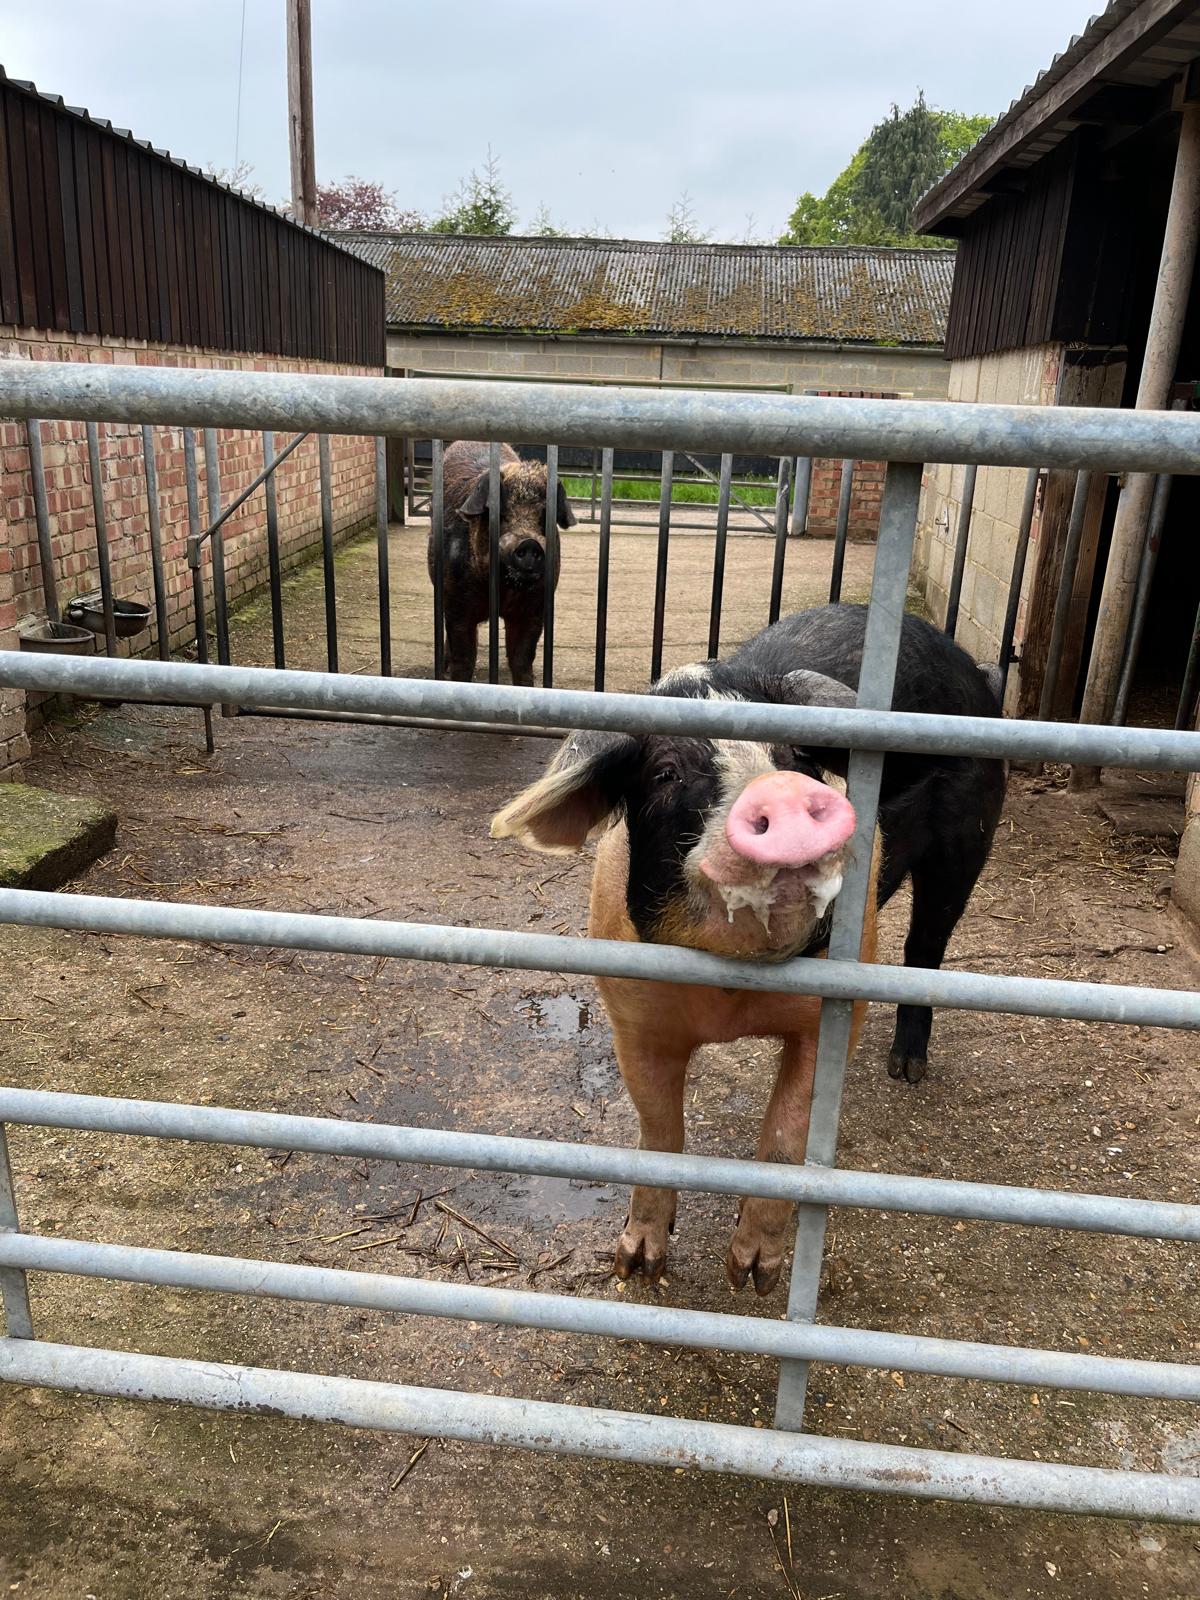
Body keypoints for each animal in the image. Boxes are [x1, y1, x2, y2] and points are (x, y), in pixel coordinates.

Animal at [432, 441, 579, 684]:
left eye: (544, 515)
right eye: (499, 512)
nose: (529, 543)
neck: (505, 589)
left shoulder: (535, 608)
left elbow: (521, 659)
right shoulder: (456, 603)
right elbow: (464, 659)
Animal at [492, 604, 1011, 1292]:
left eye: (797, 755)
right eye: (666, 772)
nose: (783, 791)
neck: (731, 989)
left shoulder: (833, 1013)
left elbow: (788, 1137)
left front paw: (751, 1278)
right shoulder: (632, 1016)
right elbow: (659, 1131)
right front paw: (637, 1266)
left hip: (967, 840)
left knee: (926, 946)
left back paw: (906, 1071)